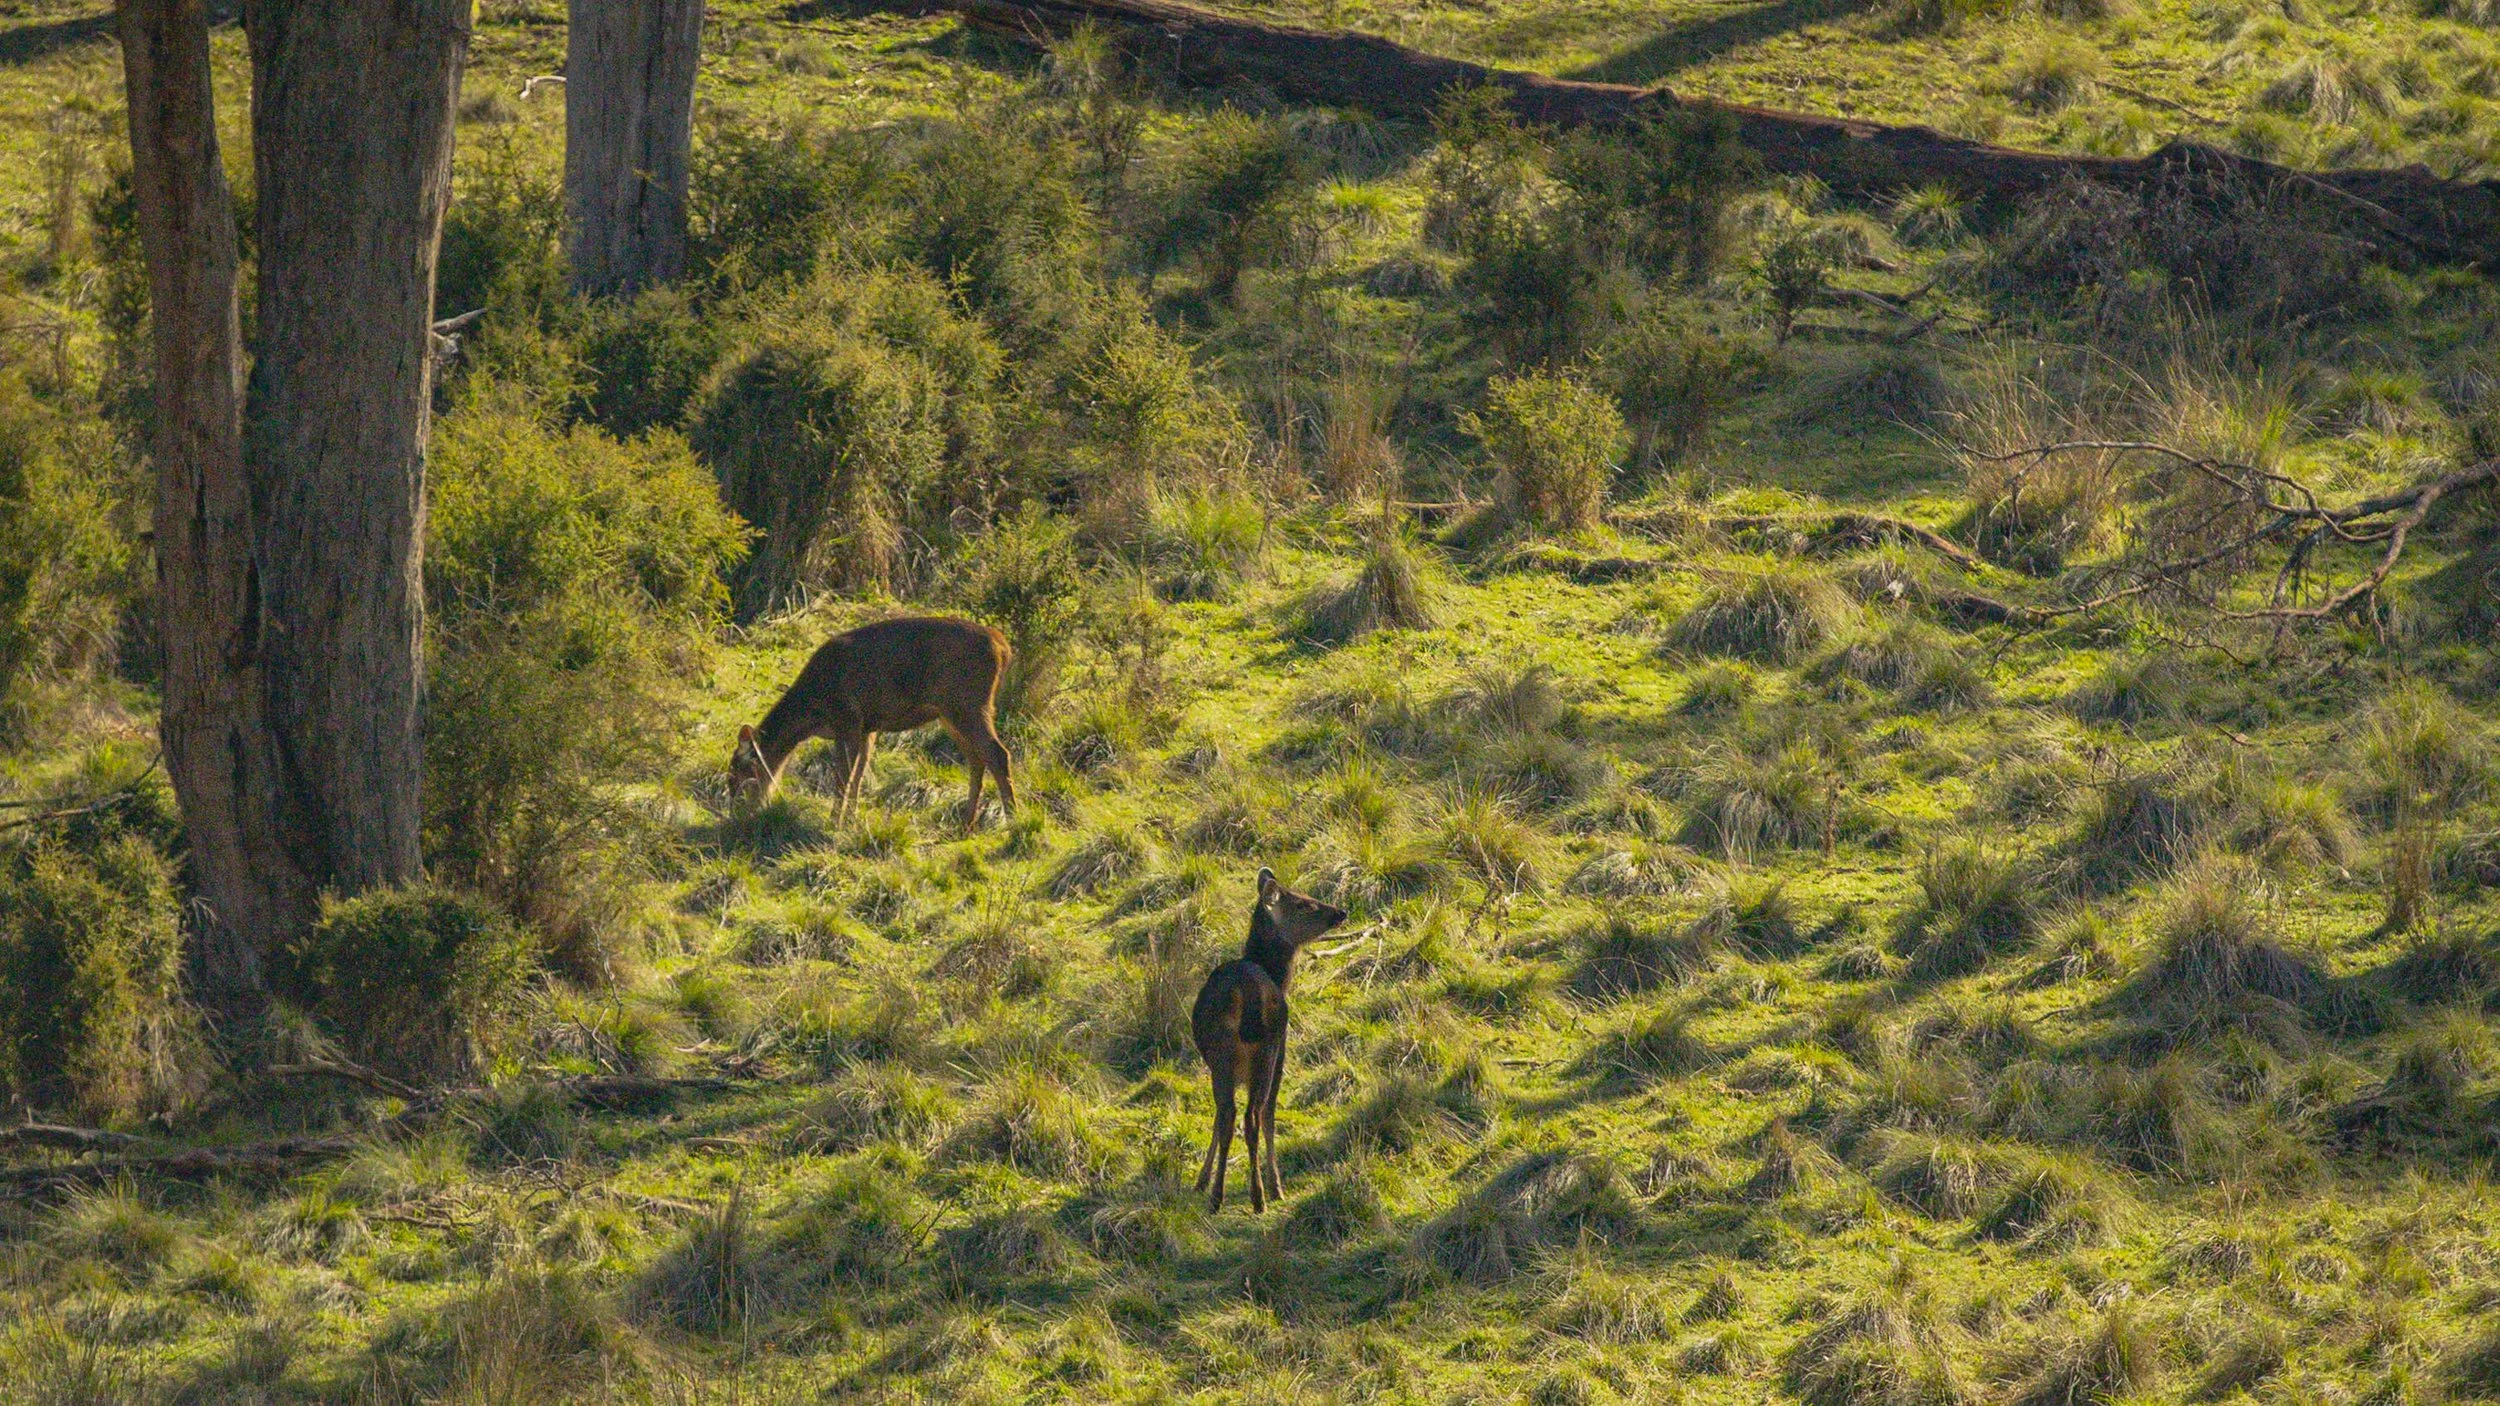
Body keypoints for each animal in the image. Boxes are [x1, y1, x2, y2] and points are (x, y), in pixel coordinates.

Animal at [728, 616, 1016, 836]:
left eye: (737, 773)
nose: (736, 814)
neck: (812, 710)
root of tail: (1003, 648)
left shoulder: (848, 719)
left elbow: (843, 778)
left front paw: (834, 823)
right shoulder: (868, 728)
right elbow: (858, 776)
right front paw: (851, 820)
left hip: (968, 703)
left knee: (997, 754)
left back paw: (1013, 820)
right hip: (953, 711)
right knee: (977, 759)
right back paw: (966, 824)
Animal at [1192, 867, 1347, 1213]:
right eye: (1304, 904)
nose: (1340, 912)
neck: (1278, 976)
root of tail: (1247, 993)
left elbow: (1216, 1117)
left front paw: (1201, 1180)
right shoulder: (1282, 1053)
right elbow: (1269, 1116)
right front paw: (1276, 1186)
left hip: (1223, 1053)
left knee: (1227, 1115)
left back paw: (1217, 1197)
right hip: (1267, 1048)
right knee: (1252, 1115)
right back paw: (1259, 1195)